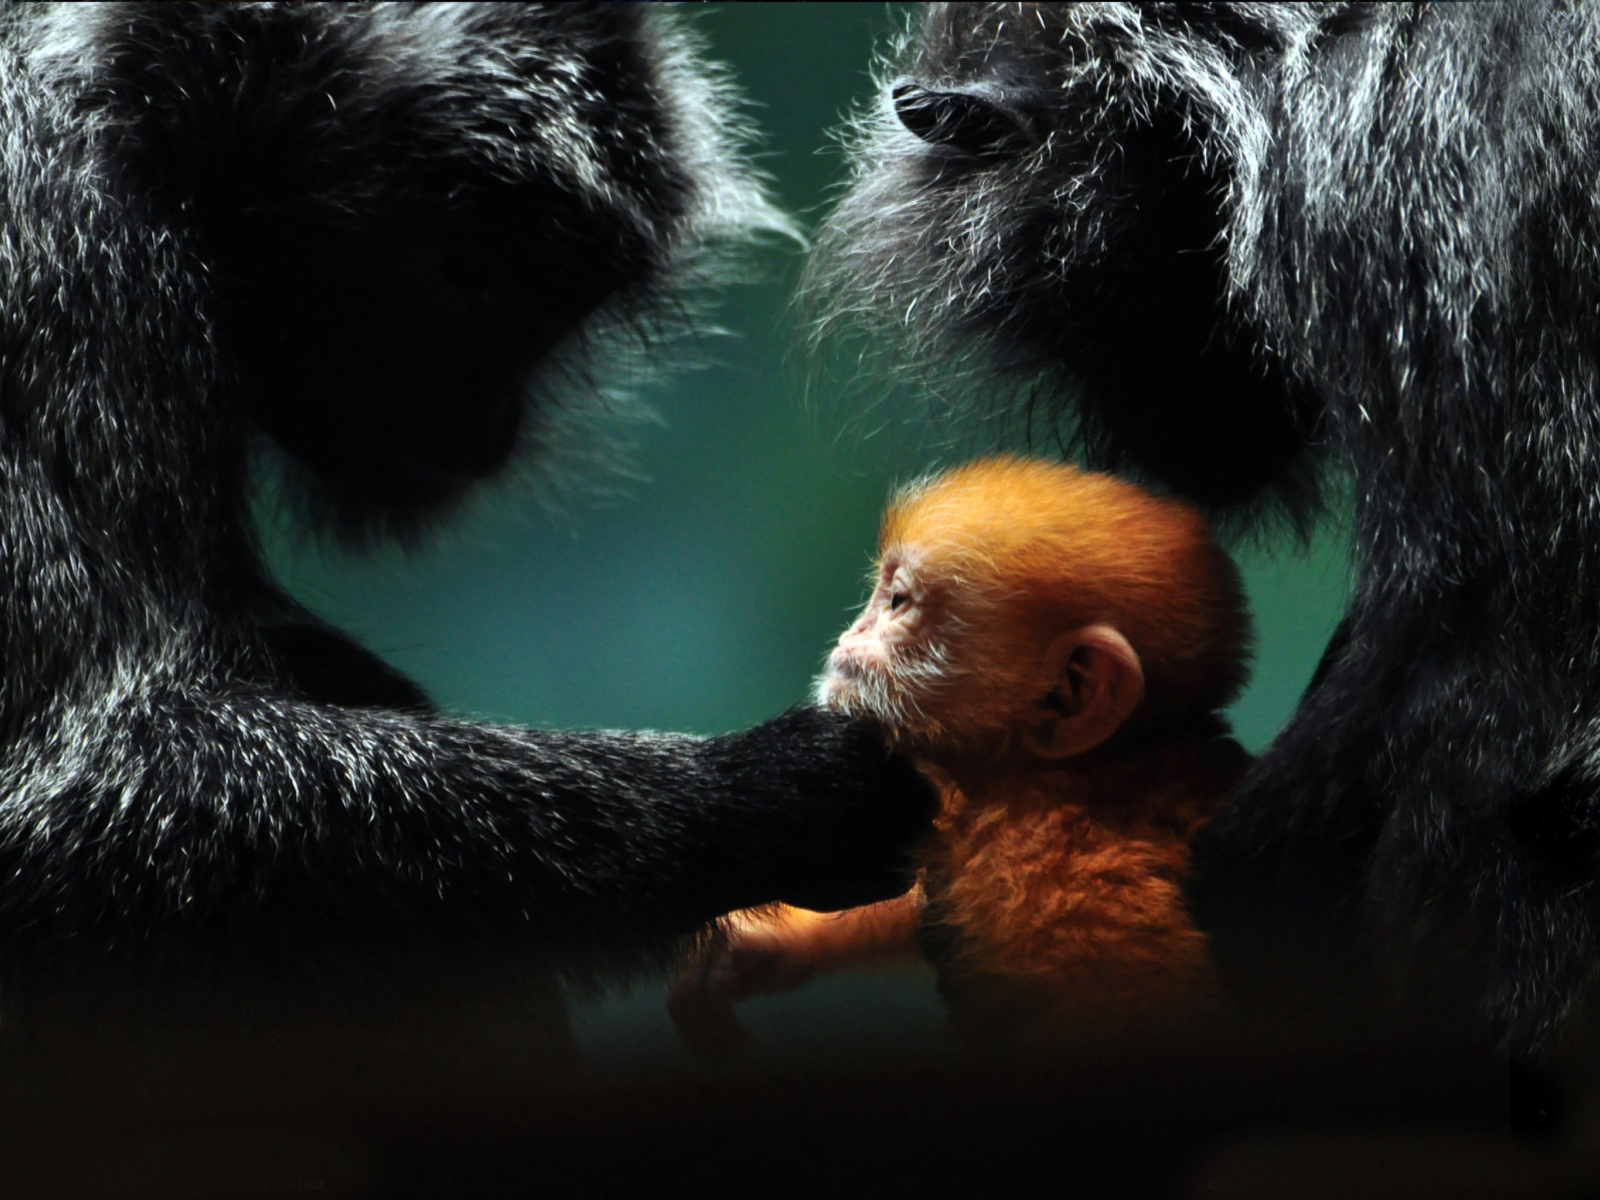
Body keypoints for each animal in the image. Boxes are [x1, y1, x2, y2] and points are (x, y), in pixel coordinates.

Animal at [0, 0, 934, 1126]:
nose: (491, 423)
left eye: (559, 303)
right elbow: (75, 805)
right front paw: (755, 795)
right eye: (470, 275)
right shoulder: (59, 238)